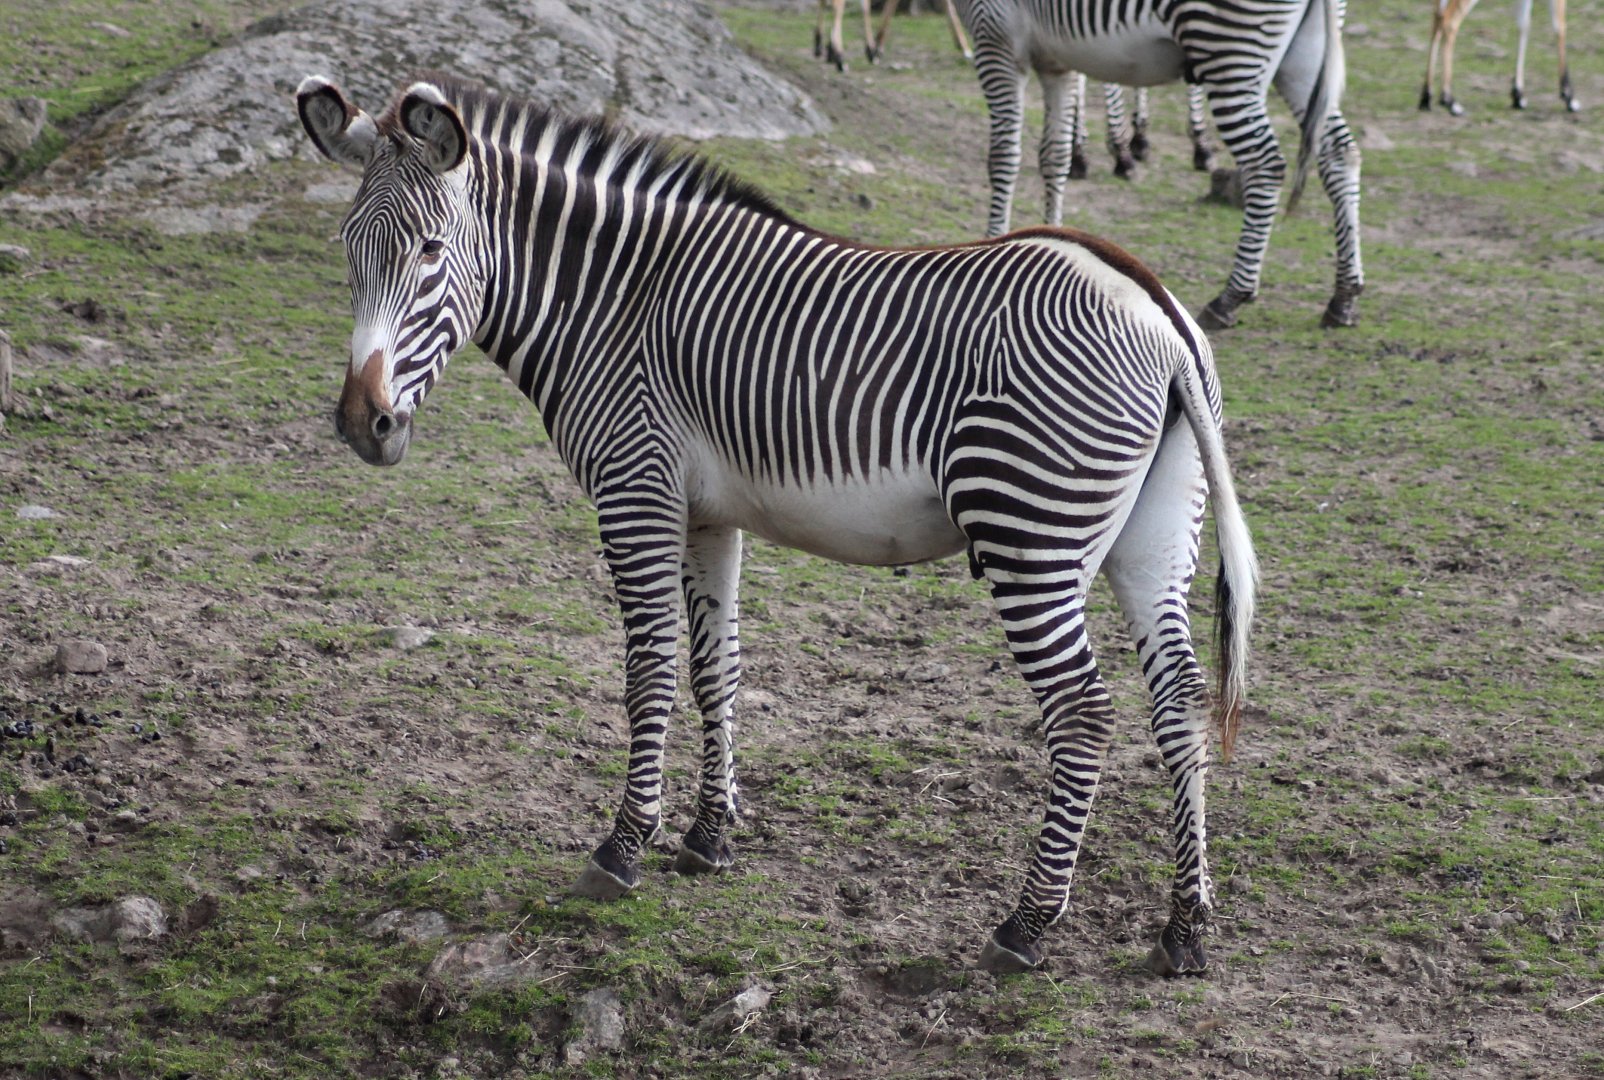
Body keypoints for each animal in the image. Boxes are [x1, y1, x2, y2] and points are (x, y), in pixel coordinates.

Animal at [296, 71, 1258, 975]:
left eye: (430, 251)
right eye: (347, 251)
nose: (362, 424)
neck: (616, 303)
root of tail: (1157, 310)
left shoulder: (634, 489)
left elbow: (650, 669)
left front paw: (623, 847)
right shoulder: (706, 515)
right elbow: (715, 669)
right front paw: (708, 836)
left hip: (1031, 532)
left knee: (1084, 711)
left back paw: (1026, 924)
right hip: (1151, 538)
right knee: (1178, 697)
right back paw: (1186, 928)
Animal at [952, 0, 1365, 329]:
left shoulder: (996, 38)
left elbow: (1004, 154)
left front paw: (991, 247)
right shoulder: (1056, 62)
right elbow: (1054, 156)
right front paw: (1051, 243)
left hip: (1228, 49)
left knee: (1265, 163)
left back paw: (1231, 295)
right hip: (1301, 59)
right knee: (1340, 152)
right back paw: (1344, 296)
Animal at [1421, 0, 1579, 115]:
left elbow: (1524, 25)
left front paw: (1518, 96)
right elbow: (1560, 27)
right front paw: (1570, 98)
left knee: (1437, 18)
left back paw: (1426, 98)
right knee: (1449, 21)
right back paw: (1450, 102)